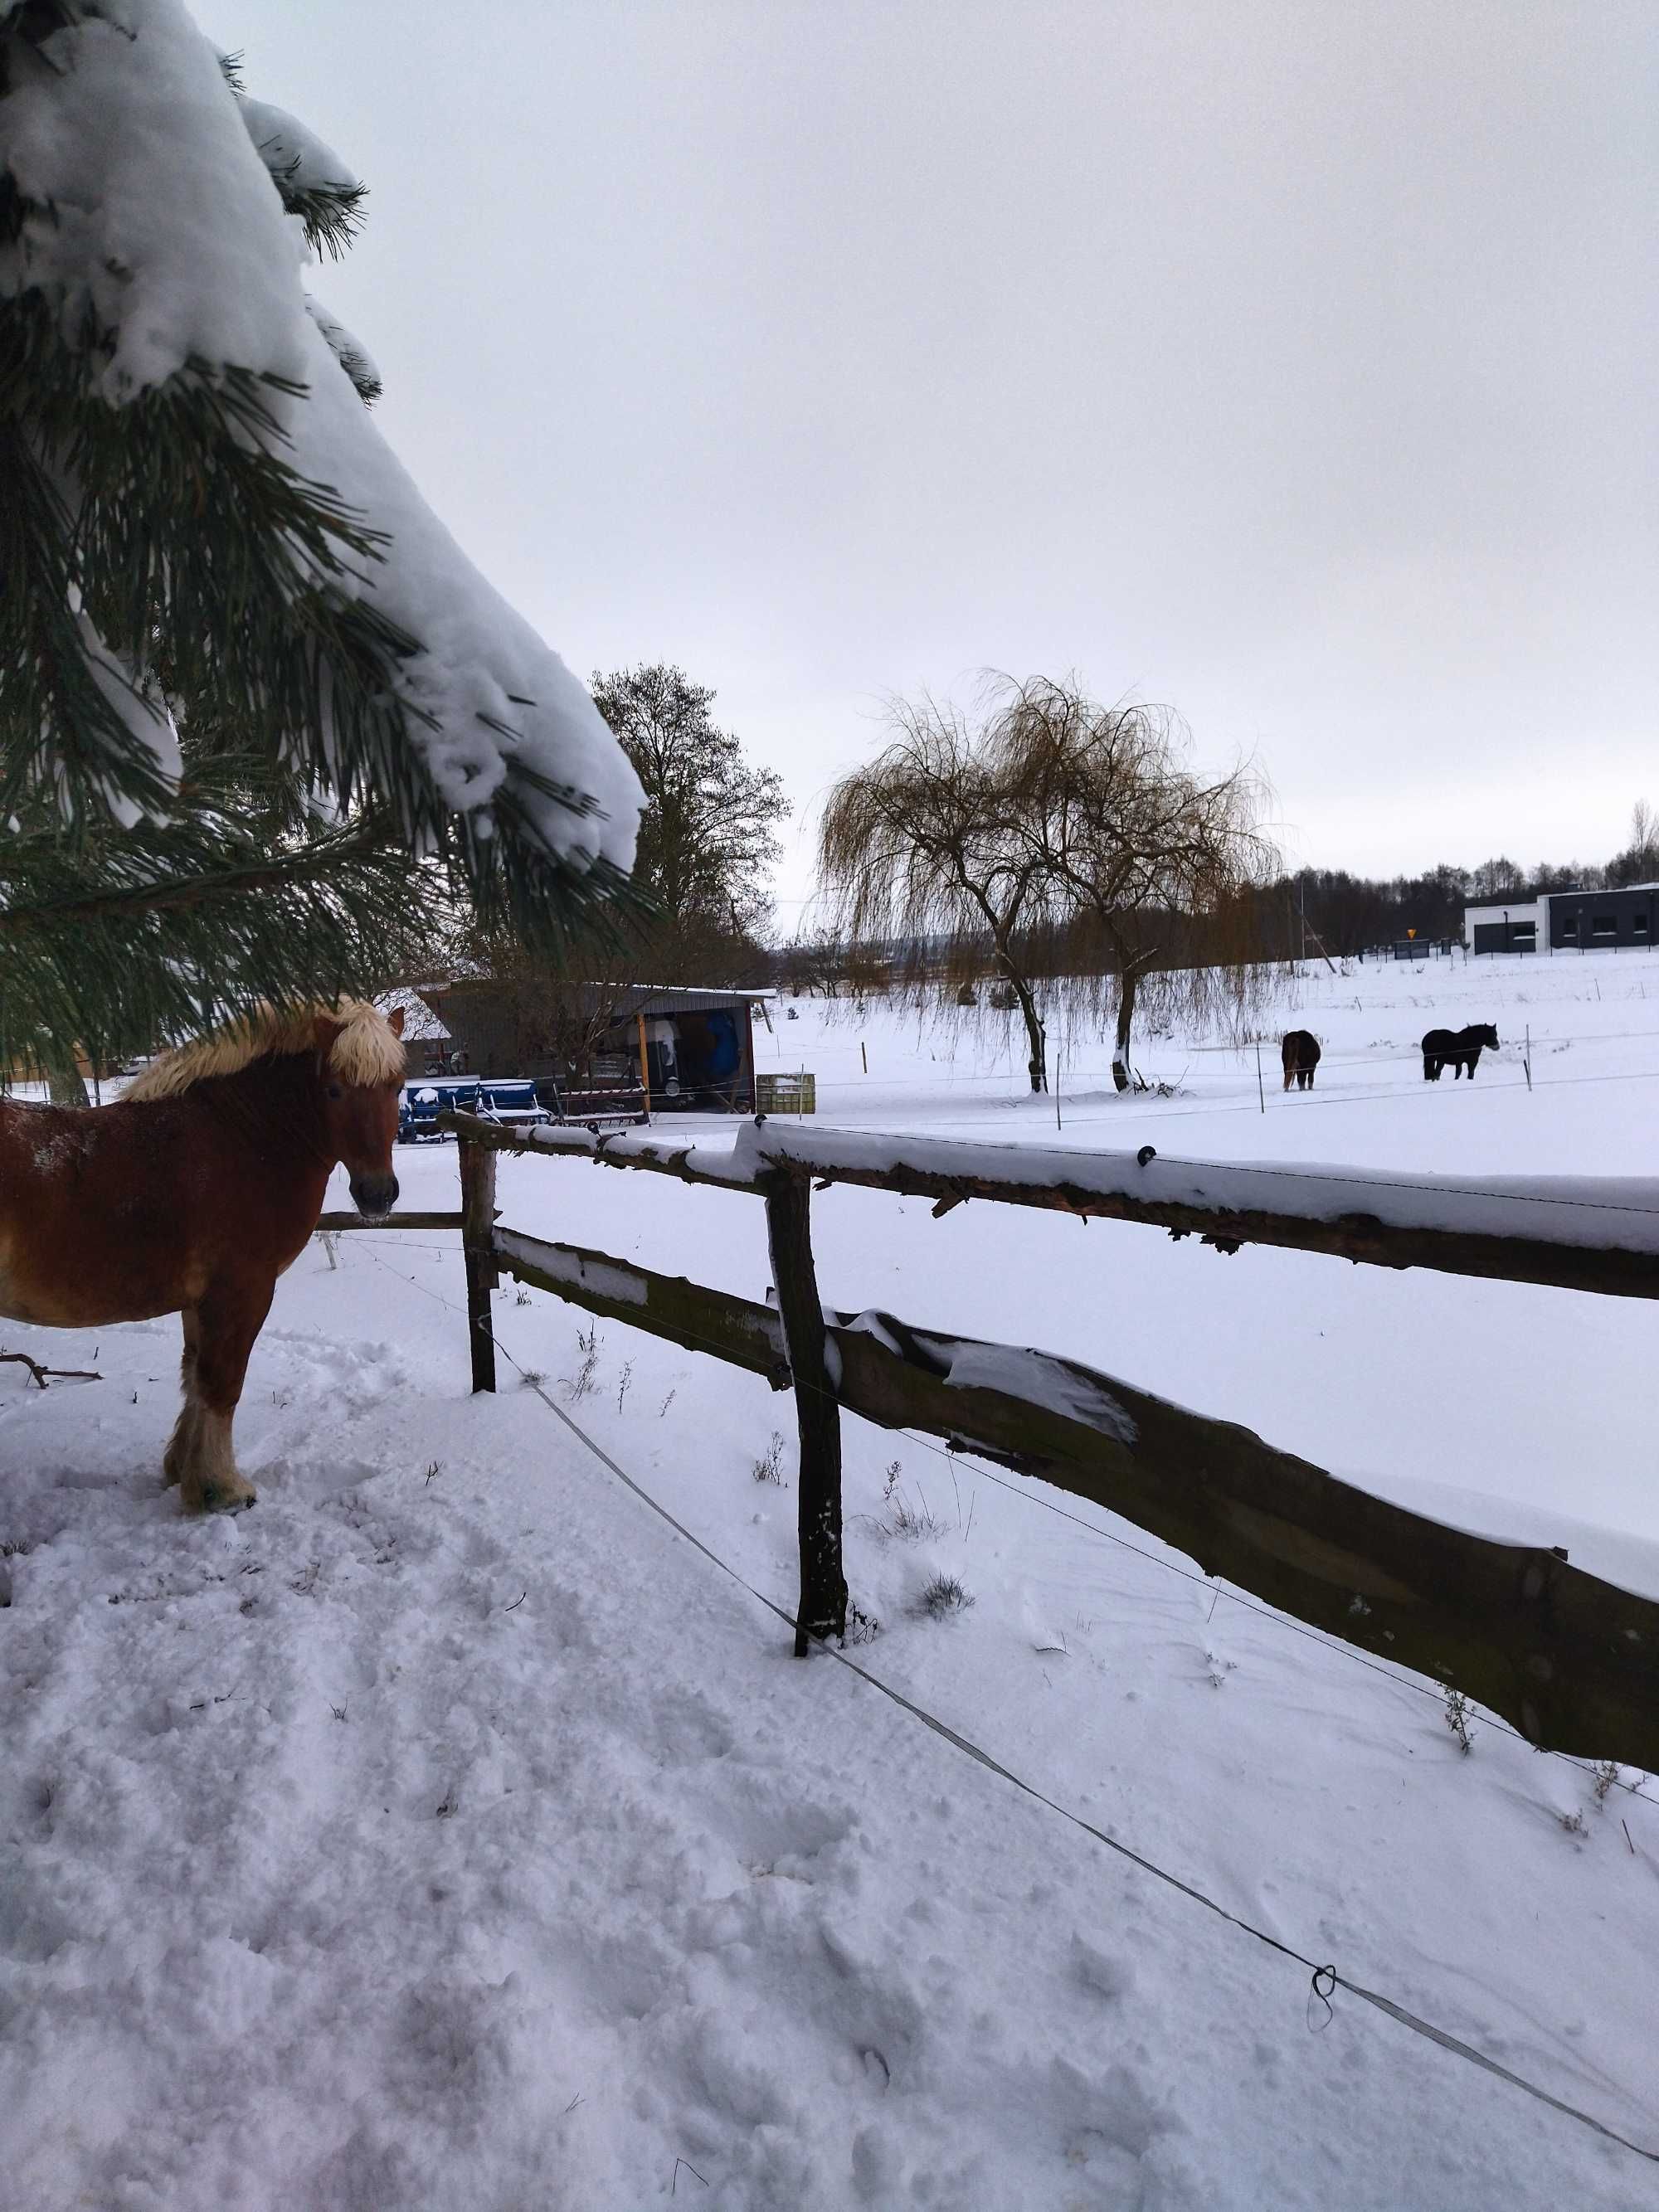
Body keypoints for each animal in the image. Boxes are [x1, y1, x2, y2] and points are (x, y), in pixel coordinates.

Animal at [0, 1009, 406, 1513]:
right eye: (334, 1089)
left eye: (397, 1087)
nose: (377, 1194)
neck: (239, 1135)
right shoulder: (241, 1293)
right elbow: (222, 1383)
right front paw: (222, 1487)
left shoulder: (199, 1302)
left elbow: (194, 1373)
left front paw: (184, 1471)